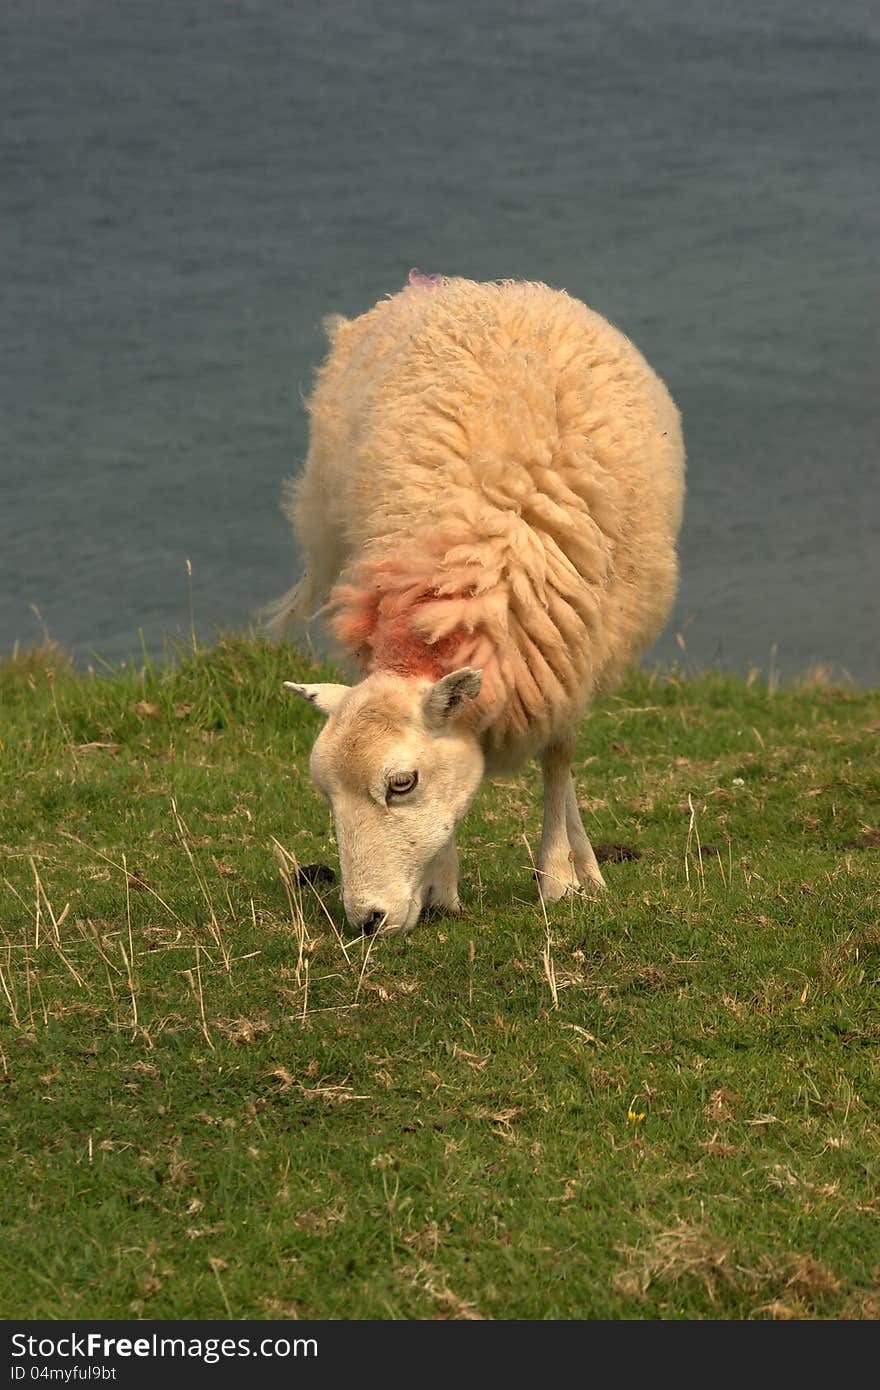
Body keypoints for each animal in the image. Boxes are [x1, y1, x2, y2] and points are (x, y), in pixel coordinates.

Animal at [264, 271, 683, 934]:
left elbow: (558, 756)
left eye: (401, 783)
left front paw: (558, 877)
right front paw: (442, 886)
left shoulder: (570, 648)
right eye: (325, 792)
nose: (366, 920)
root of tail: (463, 285)